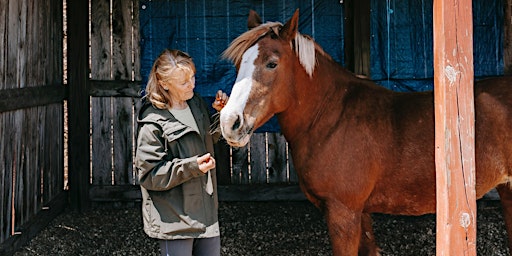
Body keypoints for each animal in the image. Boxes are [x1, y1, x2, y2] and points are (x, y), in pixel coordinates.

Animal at [218, 9, 512, 255]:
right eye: (239, 64)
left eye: (272, 63)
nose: (230, 122)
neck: (331, 118)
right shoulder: (361, 213)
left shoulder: (343, 213)